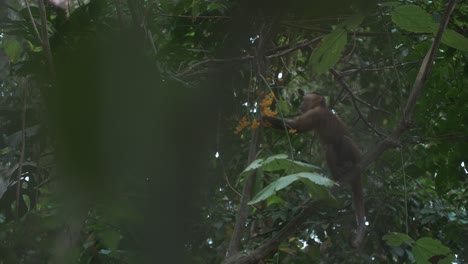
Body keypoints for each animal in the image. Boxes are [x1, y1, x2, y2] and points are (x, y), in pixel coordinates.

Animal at [264, 92, 366, 248]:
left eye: (305, 99)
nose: (301, 104)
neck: (322, 107)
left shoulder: (316, 113)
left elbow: (297, 126)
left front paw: (265, 117)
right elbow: (296, 128)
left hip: (357, 154)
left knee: (344, 140)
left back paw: (349, 165)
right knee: (330, 148)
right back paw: (339, 174)